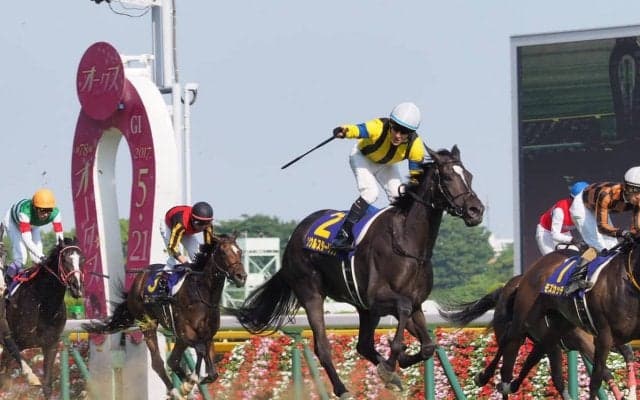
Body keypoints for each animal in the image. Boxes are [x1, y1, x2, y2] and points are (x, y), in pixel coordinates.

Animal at [0, 237, 84, 399]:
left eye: (81, 259)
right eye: (65, 259)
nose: (77, 287)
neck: (42, 304)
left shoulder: (51, 344)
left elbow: (47, 385)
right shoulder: (15, 341)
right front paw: (32, 378)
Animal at [83, 234, 247, 400]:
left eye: (239, 251)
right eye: (223, 253)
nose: (241, 276)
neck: (202, 295)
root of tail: (137, 281)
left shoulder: (207, 335)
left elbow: (212, 373)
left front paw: (191, 382)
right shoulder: (185, 333)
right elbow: (200, 351)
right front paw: (190, 382)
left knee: (172, 360)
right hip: (147, 324)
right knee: (158, 362)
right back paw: (176, 390)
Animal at [229, 145, 484, 399]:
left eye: (470, 176)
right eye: (449, 177)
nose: (476, 210)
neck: (406, 242)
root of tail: (294, 237)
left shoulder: (415, 303)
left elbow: (429, 345)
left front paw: (396, 363)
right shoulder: (379, 297)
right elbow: (402, 311)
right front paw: (392, 361)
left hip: (363, 308)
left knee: (364, 345)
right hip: (311, 292)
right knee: (322, 346)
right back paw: (342, 389)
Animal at [438, 273, 636, 399]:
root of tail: (506, 287)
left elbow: (628, 354)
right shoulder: (585, 341)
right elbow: (605, 371)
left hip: (547, 344)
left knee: (554, 377)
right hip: (514, 333)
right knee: (505, 365)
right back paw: (485, 377)